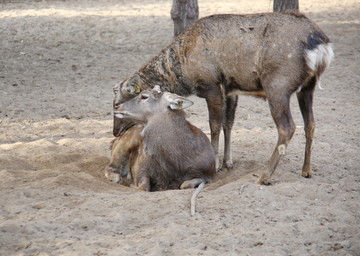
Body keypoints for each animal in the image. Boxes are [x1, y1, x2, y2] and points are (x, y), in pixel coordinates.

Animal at [113, 11, 334, 184]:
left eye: (116, 104)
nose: (115, 132)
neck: (182, 68)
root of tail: (322, 45)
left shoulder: (211, 85)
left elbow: (214, 124)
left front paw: (216, 163)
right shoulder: (231, 89)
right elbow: (229, 123)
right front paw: (228, 161)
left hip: (278, 86)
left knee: (287, 127)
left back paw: (265, 176)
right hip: (308, 88)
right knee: (310, 124)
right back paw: (306, 170)